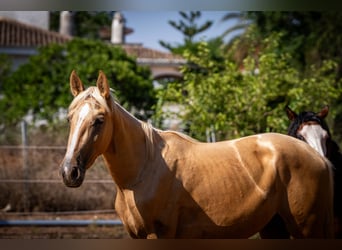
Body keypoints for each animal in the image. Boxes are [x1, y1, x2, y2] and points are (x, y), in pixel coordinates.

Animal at [59, 70, 334, 238]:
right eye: (70, 118)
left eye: (99, 120)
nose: (69, 172)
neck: (143, 171)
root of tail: (317, 156)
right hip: (273, 227)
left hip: (307, 229)